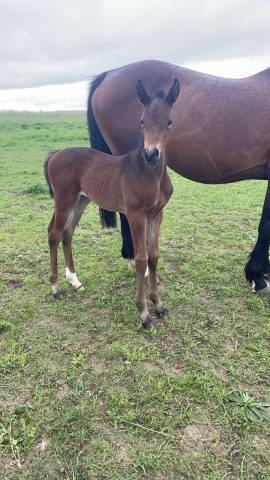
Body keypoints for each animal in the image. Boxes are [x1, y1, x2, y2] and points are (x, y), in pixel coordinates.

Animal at [43, 79, 179, 326]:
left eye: (169, 122)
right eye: (142, 121)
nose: (151, 154)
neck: (148, 172)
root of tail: (55, 154)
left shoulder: (157, 214)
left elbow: (154, 256)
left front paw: (159, 305)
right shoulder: (135, 214)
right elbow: (141, 259)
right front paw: (144, 313)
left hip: (81, 201)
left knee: (67, 232)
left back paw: (75, 282)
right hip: (64, 199)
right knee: (54, 233)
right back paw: (56, 288)